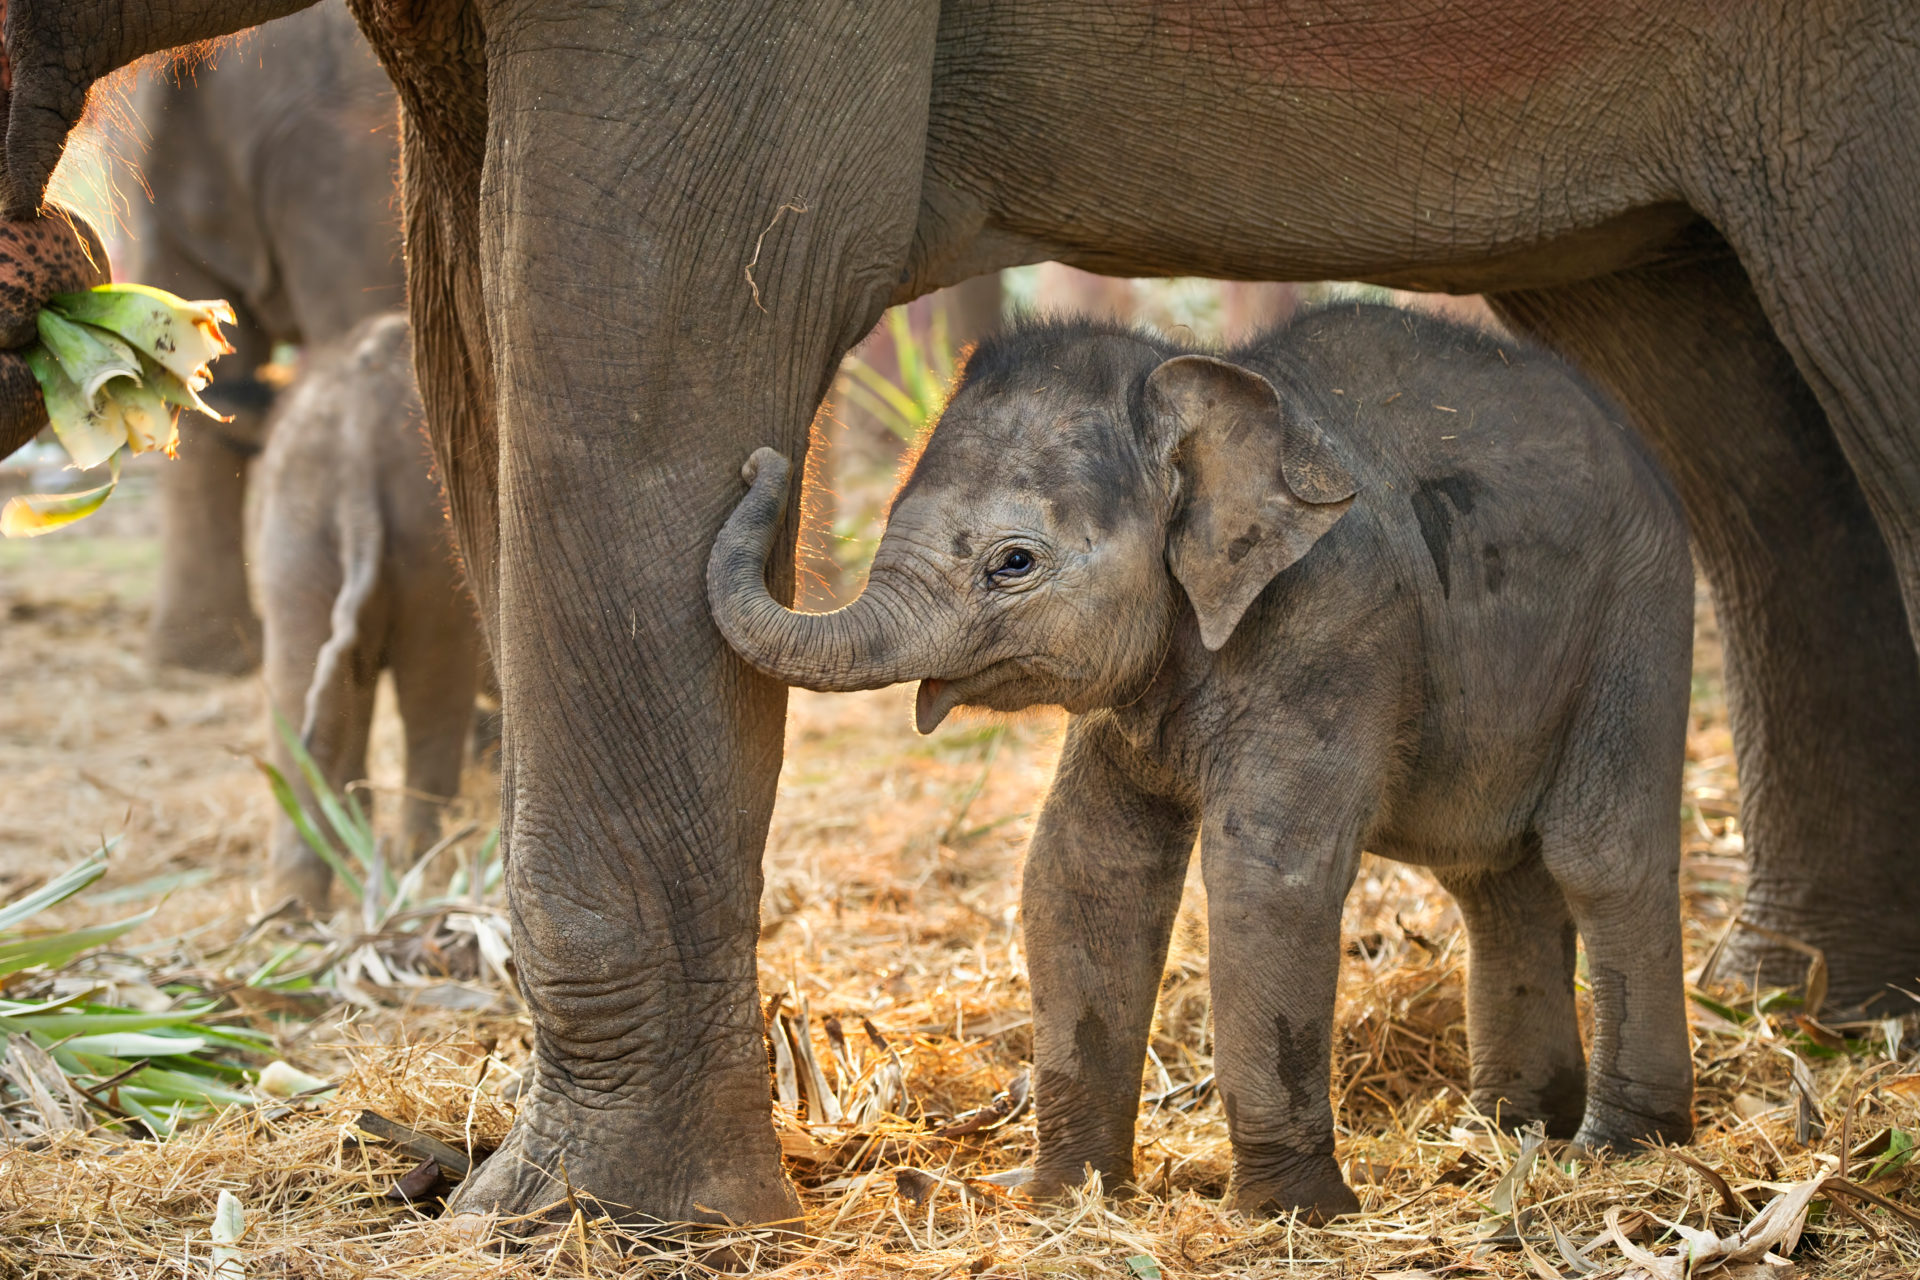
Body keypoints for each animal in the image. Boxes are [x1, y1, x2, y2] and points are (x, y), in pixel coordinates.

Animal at [251, 314, 480, 905]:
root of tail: (358, 442)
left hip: (296, 534)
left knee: (306, 697)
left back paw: (295, 903)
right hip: (429, 546)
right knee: (432, 692)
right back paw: (420, 865)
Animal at [710, 305, 1697, 1220]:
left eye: (1014, 562)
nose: (761, 464)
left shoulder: (1336, 621)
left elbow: (1268, 877)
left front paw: (1291, 1214)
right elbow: (1082, 870)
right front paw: (1065, 1196)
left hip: (1638, 618)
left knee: (1599, 856)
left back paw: (1620, 1148)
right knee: (1493, 878)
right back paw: (1504, 1127)